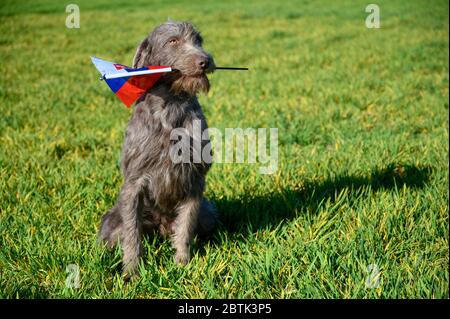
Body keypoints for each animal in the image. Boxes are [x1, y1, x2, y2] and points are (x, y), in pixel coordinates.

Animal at [98, 20, 218, 280]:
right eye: (172, 41)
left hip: (208, 213)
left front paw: (182, 264)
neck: (171, 106)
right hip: (113, 221)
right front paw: (132, 272)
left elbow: (185, 227)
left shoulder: (195, 179)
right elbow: (132, 233)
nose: (205, 61)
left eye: (198, 40)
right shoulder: (134, 184)